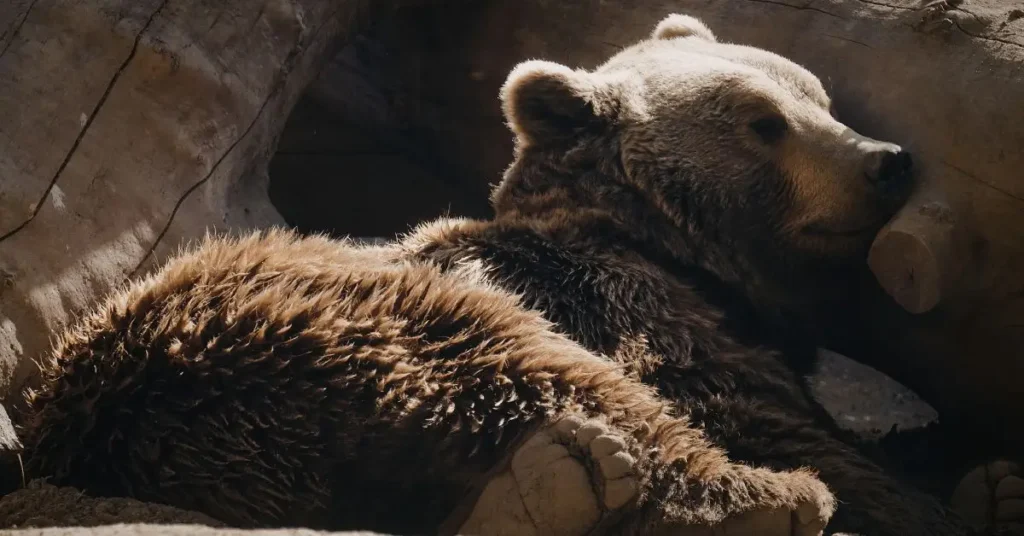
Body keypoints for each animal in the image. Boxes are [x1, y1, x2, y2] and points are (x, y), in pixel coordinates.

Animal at [10, 12, 1020, 536]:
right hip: (321, 304)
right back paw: (751, 498)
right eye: (762, 122)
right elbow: (770, 416)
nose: (885, 161)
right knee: (550, 377)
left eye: (814, 92)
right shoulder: (633, 301)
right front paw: (924, 493)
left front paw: (972, 474)